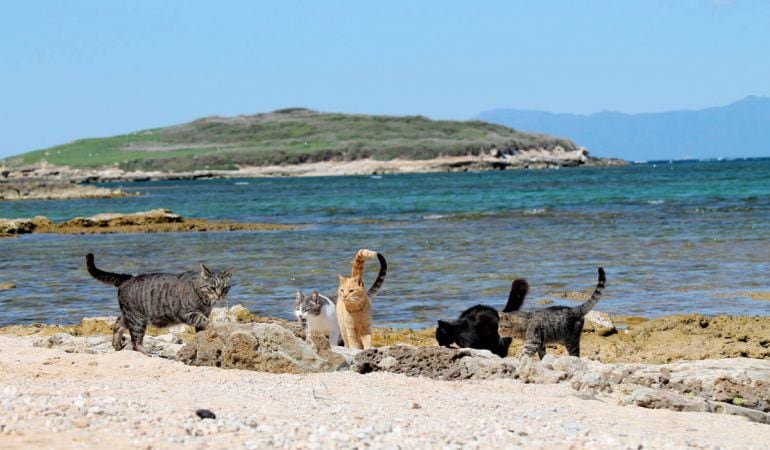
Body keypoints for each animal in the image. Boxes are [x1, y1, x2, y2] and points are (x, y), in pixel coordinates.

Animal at [84, 253, 232, 356]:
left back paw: (116, 344)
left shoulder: (202, 314)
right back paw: (147, 353)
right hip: (137, 319)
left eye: (225, 288)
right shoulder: (189, 313)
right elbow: (207, 321)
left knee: (118, 323)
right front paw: (215, 328)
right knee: (135, 343)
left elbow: (202, 328)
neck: (204, 300)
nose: (220, 295)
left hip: (130, 316)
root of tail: (128, 278)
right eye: (212, 287)